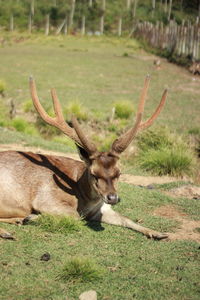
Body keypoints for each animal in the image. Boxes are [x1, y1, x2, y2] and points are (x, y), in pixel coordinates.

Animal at [0, 76, 168, 240]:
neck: (84, 199)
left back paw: (16, 222)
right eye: (94, 173)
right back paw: (10, 229)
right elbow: (75, 216)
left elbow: (126, 218)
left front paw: (158, 233)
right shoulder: (45, 199)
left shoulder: (101, 209)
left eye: (119, 173)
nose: (113, 198)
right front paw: (32, 217)